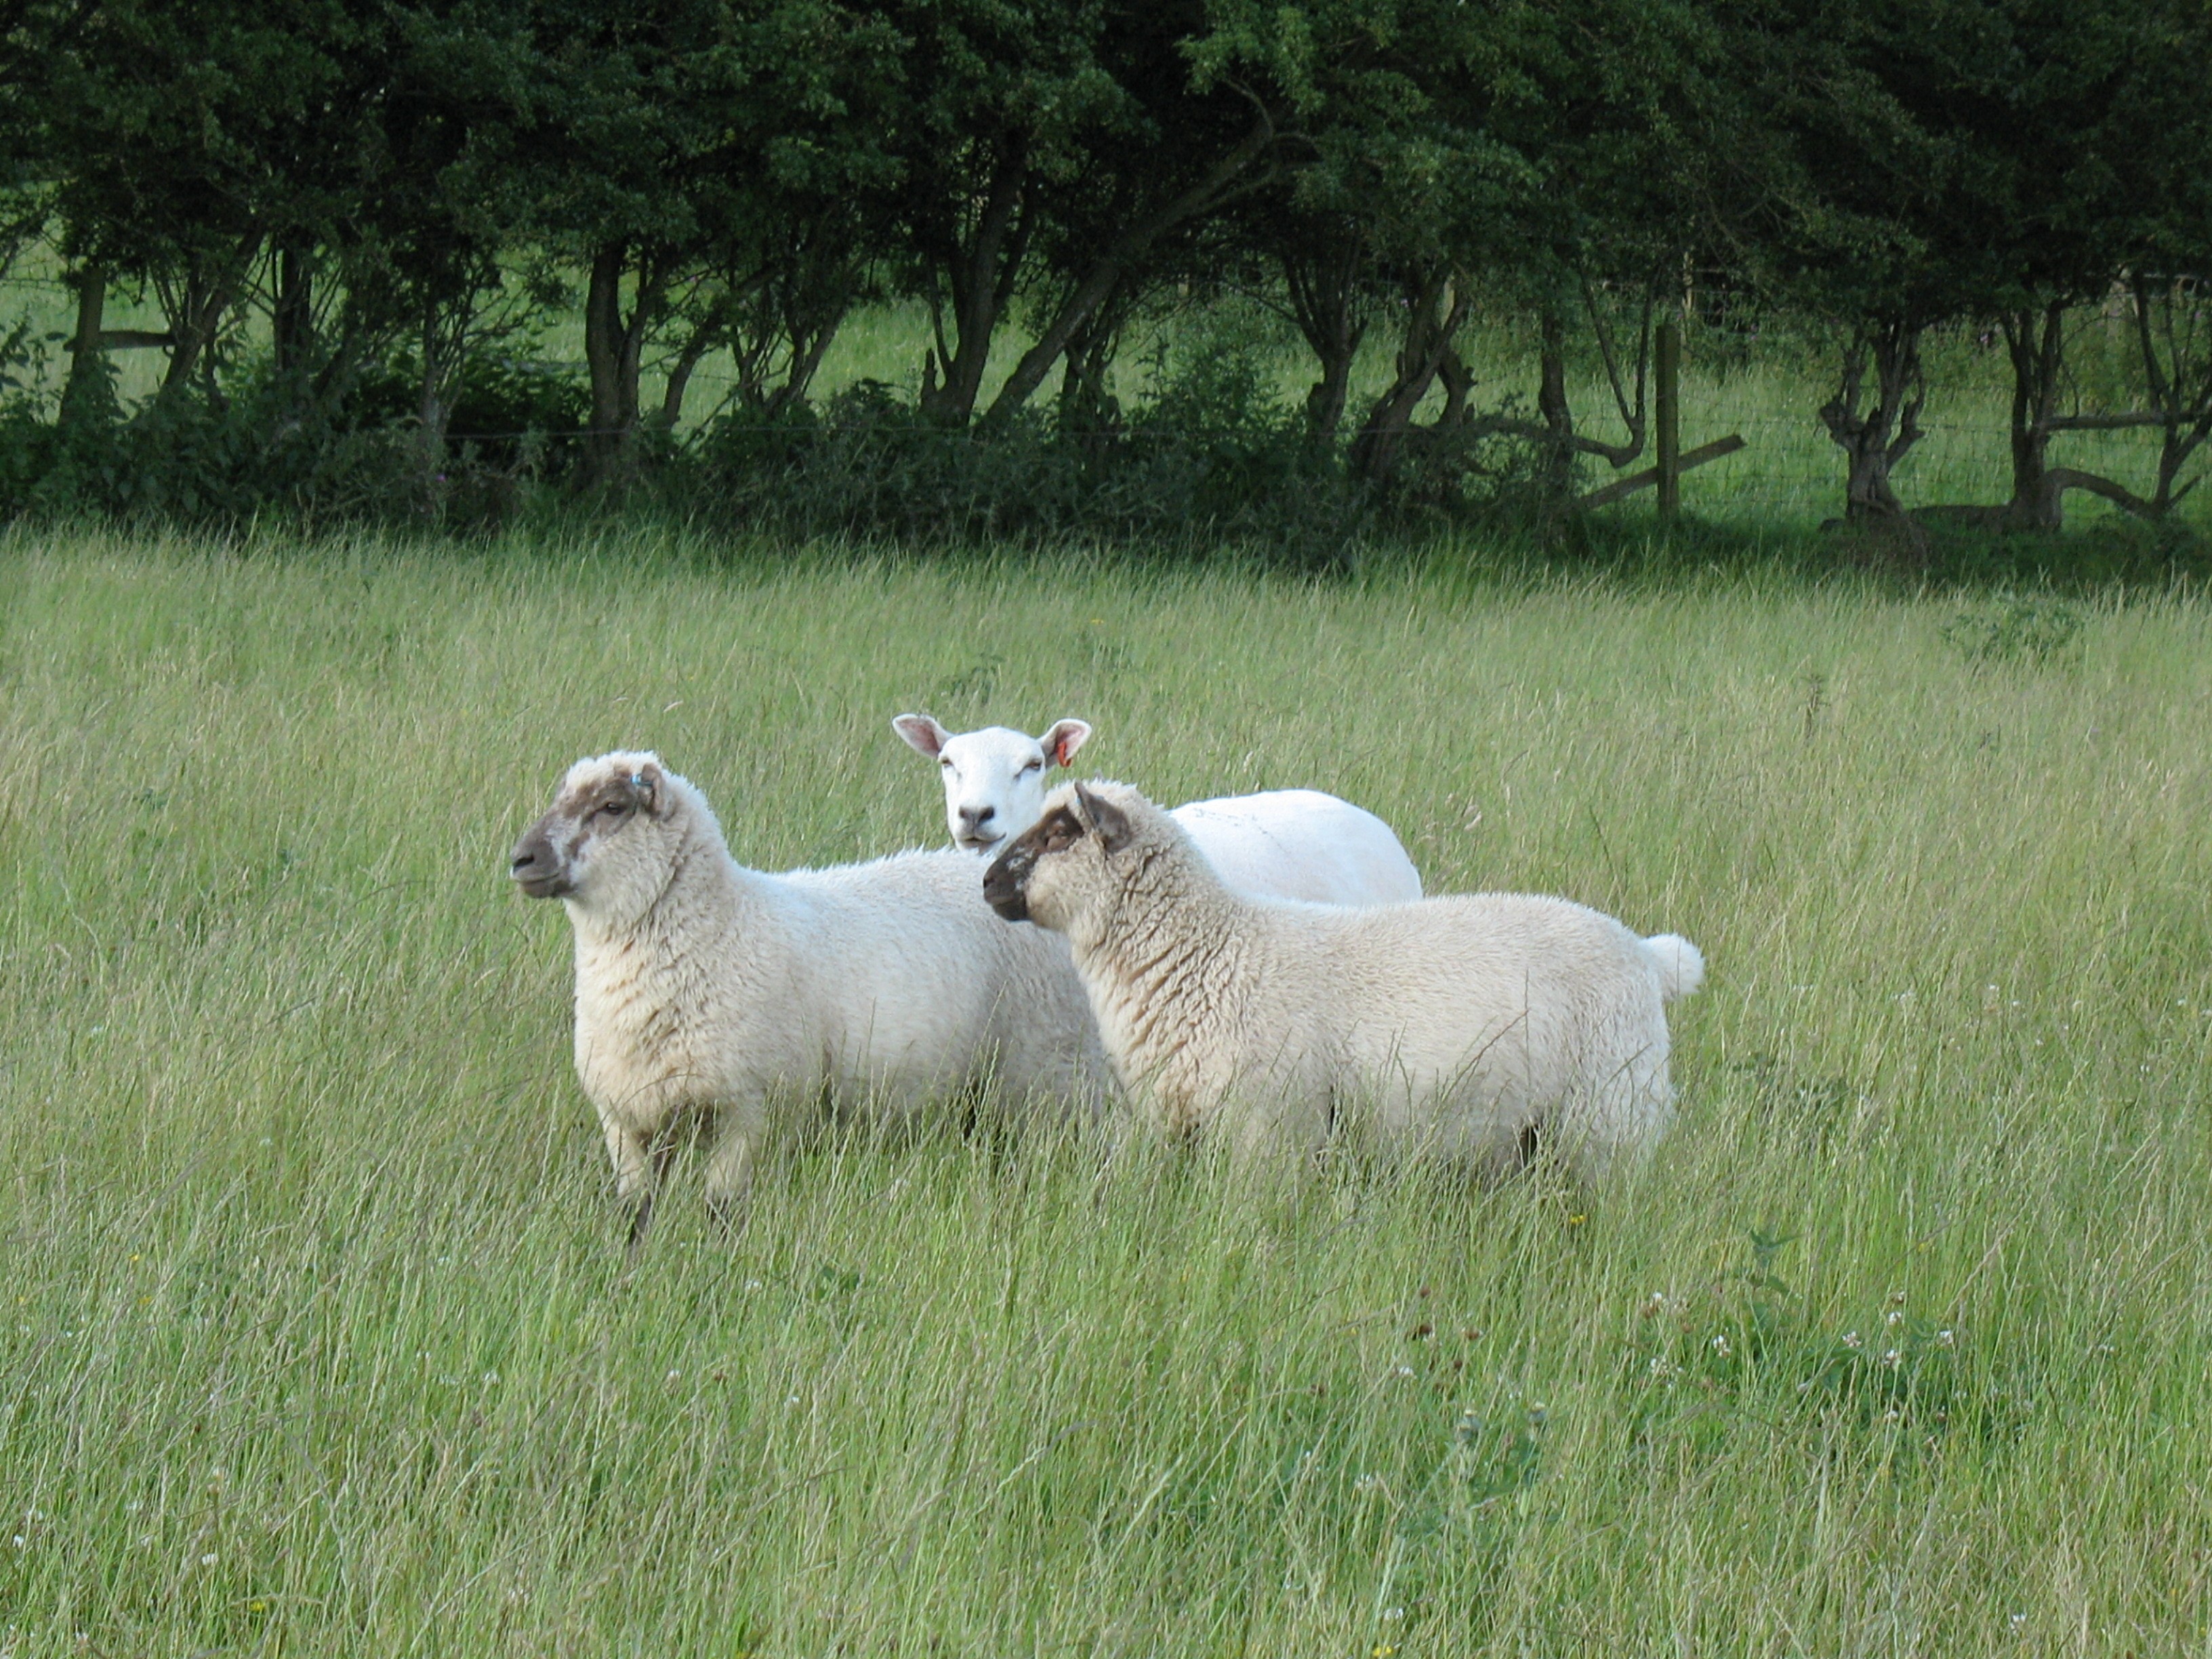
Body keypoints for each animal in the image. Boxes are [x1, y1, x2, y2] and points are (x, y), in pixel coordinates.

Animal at [509, 751, 1111, 1239]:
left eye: (612, 806)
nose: (521, 859)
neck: (719, 927)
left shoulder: (750, 1111)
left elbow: (721, 1212)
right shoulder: (625, 1121)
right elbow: (635, 1216)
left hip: (1051, 1081)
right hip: (982, 1096)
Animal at [982, 781, 1703, 1180]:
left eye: (1060, 832)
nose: (986, 881)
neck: (1209, 956)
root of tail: (1647, 954)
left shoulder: (1271, 1131)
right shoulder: (1176, 1124)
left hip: (1610, 1119)